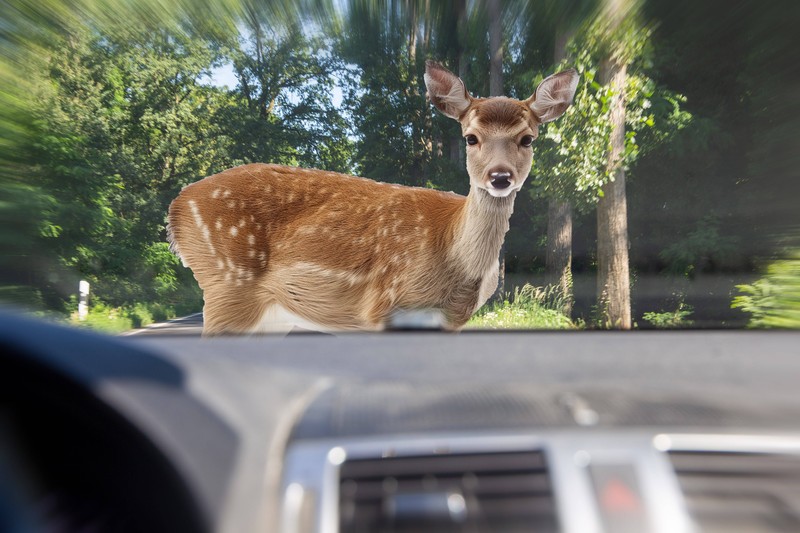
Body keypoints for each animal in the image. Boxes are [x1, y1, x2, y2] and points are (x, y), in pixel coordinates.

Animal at [169, 61, 580, 332]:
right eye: (471, 137)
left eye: (527, 139)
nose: (500, 177)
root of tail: (177, 207)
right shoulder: (382, 306)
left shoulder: (449, 321)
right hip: (226, 286)